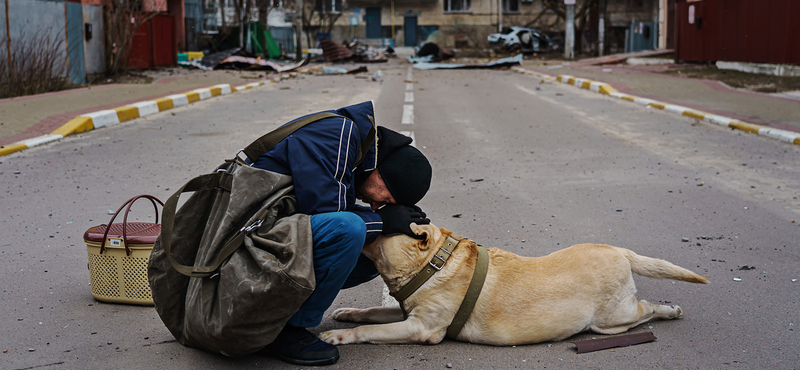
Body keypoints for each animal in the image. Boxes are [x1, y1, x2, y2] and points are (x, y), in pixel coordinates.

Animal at [318, 223, 708, 346]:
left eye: (383, 224)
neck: (430, 266)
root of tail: (620, 251)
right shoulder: (405, 312)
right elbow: (371, 312)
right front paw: (348, 313)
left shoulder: (420, 328)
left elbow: (371, 331)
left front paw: (339, 336)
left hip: (612, 319)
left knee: (646, 310)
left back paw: (670, 310)